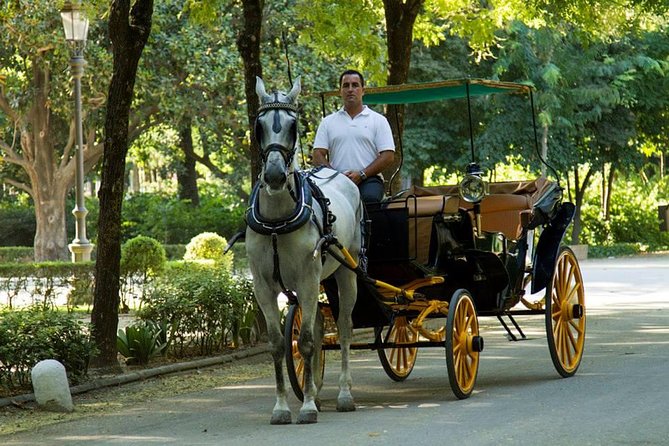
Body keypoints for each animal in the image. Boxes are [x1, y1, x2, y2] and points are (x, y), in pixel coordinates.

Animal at [244, 77, 362, 426]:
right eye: (258, 125)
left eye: (294, 126)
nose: (274, 175)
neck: (276, 222)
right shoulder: (263, 287)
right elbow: (279, 344)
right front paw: (283, 407)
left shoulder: (308, 280)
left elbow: (308, 342)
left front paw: (308, 406)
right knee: (321, 327)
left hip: (346, 272)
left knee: (345, 328)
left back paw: (344, 394)